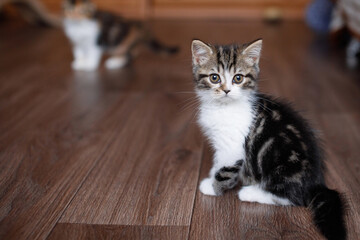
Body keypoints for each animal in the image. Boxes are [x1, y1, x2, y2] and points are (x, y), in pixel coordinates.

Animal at [191, 39, 346, 240]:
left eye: (238, 78)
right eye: (214, 78)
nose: (226, 90)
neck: (223, 107)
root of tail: (316, 183)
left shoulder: (232, 147)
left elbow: (224, 170)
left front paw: (213, 187)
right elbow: (218, 163)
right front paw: (212, 175)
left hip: (279, 166)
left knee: (293, 198)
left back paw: (250, 193)